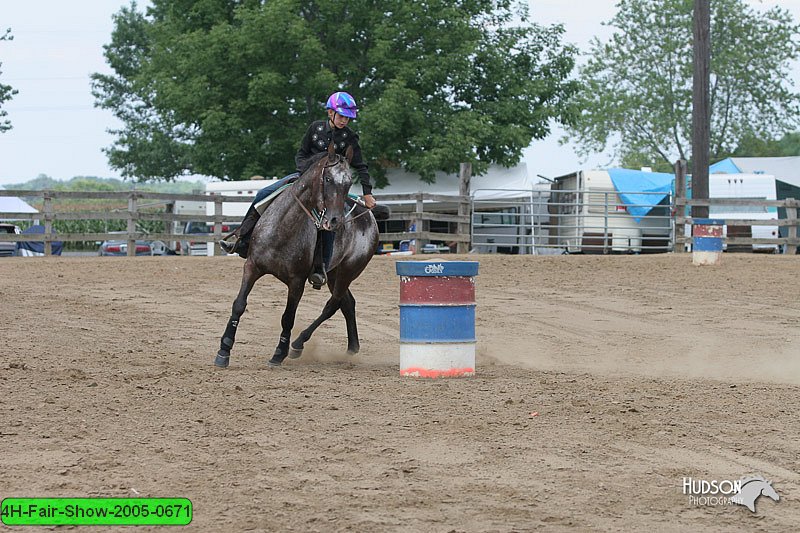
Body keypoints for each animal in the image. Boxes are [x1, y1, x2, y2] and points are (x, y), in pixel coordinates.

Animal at [216, 148, 382, 368]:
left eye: (348, 183)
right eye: (328, 179)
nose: (335, 220)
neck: (283, 229)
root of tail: (369, 217)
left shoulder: (297, 282)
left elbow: (288, 317)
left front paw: (279, 353)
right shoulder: (252, 267)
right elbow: (239, 304)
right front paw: (224, 350)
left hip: (348, 271)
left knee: (333, 304)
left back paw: (298, 343)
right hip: (334, 273)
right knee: (347, 303)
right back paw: (351, 348)